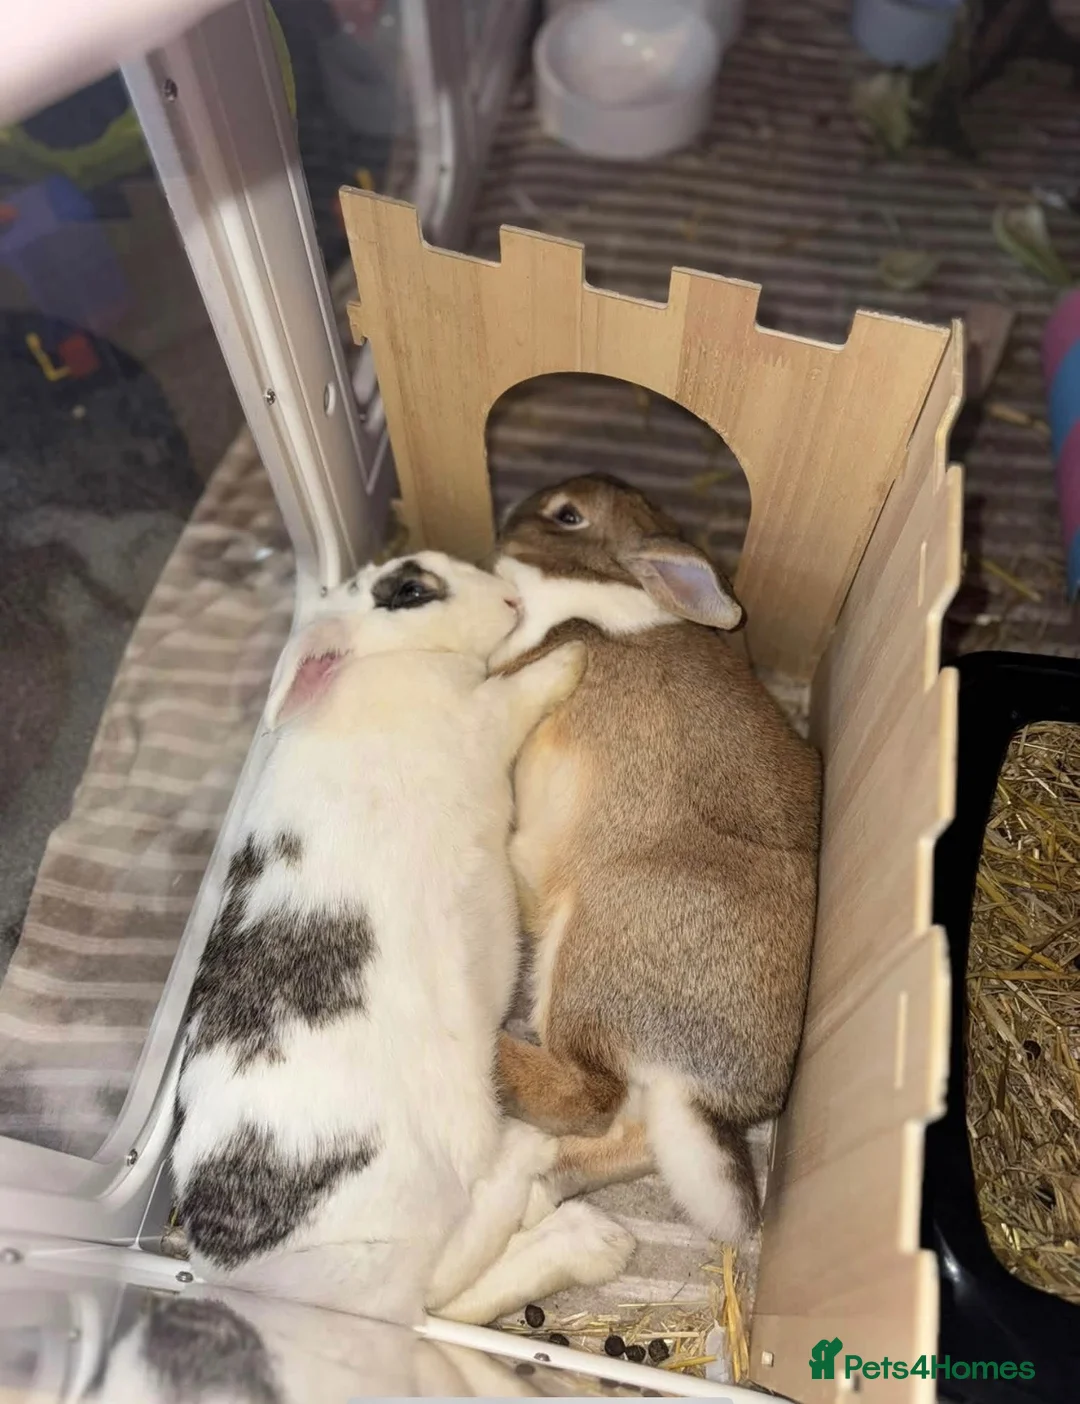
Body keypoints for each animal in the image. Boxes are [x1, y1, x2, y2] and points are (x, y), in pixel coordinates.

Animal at [170, 549, 633, 1326]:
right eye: (411, 591)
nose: (511, 600)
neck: (386, 662)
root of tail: (251, 1273)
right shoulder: (482, 718)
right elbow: (520, 692)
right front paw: (572, 656)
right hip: (436, 1173)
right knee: (442, 1286)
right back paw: (559, 1199)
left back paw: (590, 1235)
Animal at [485, 475, 822, 1246]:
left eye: (569, 515)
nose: (512, 510)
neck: (613, 585)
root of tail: (709, 1094)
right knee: (632, 1134)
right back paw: (542, 1188)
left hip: (589, 951)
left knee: (588, 1093)